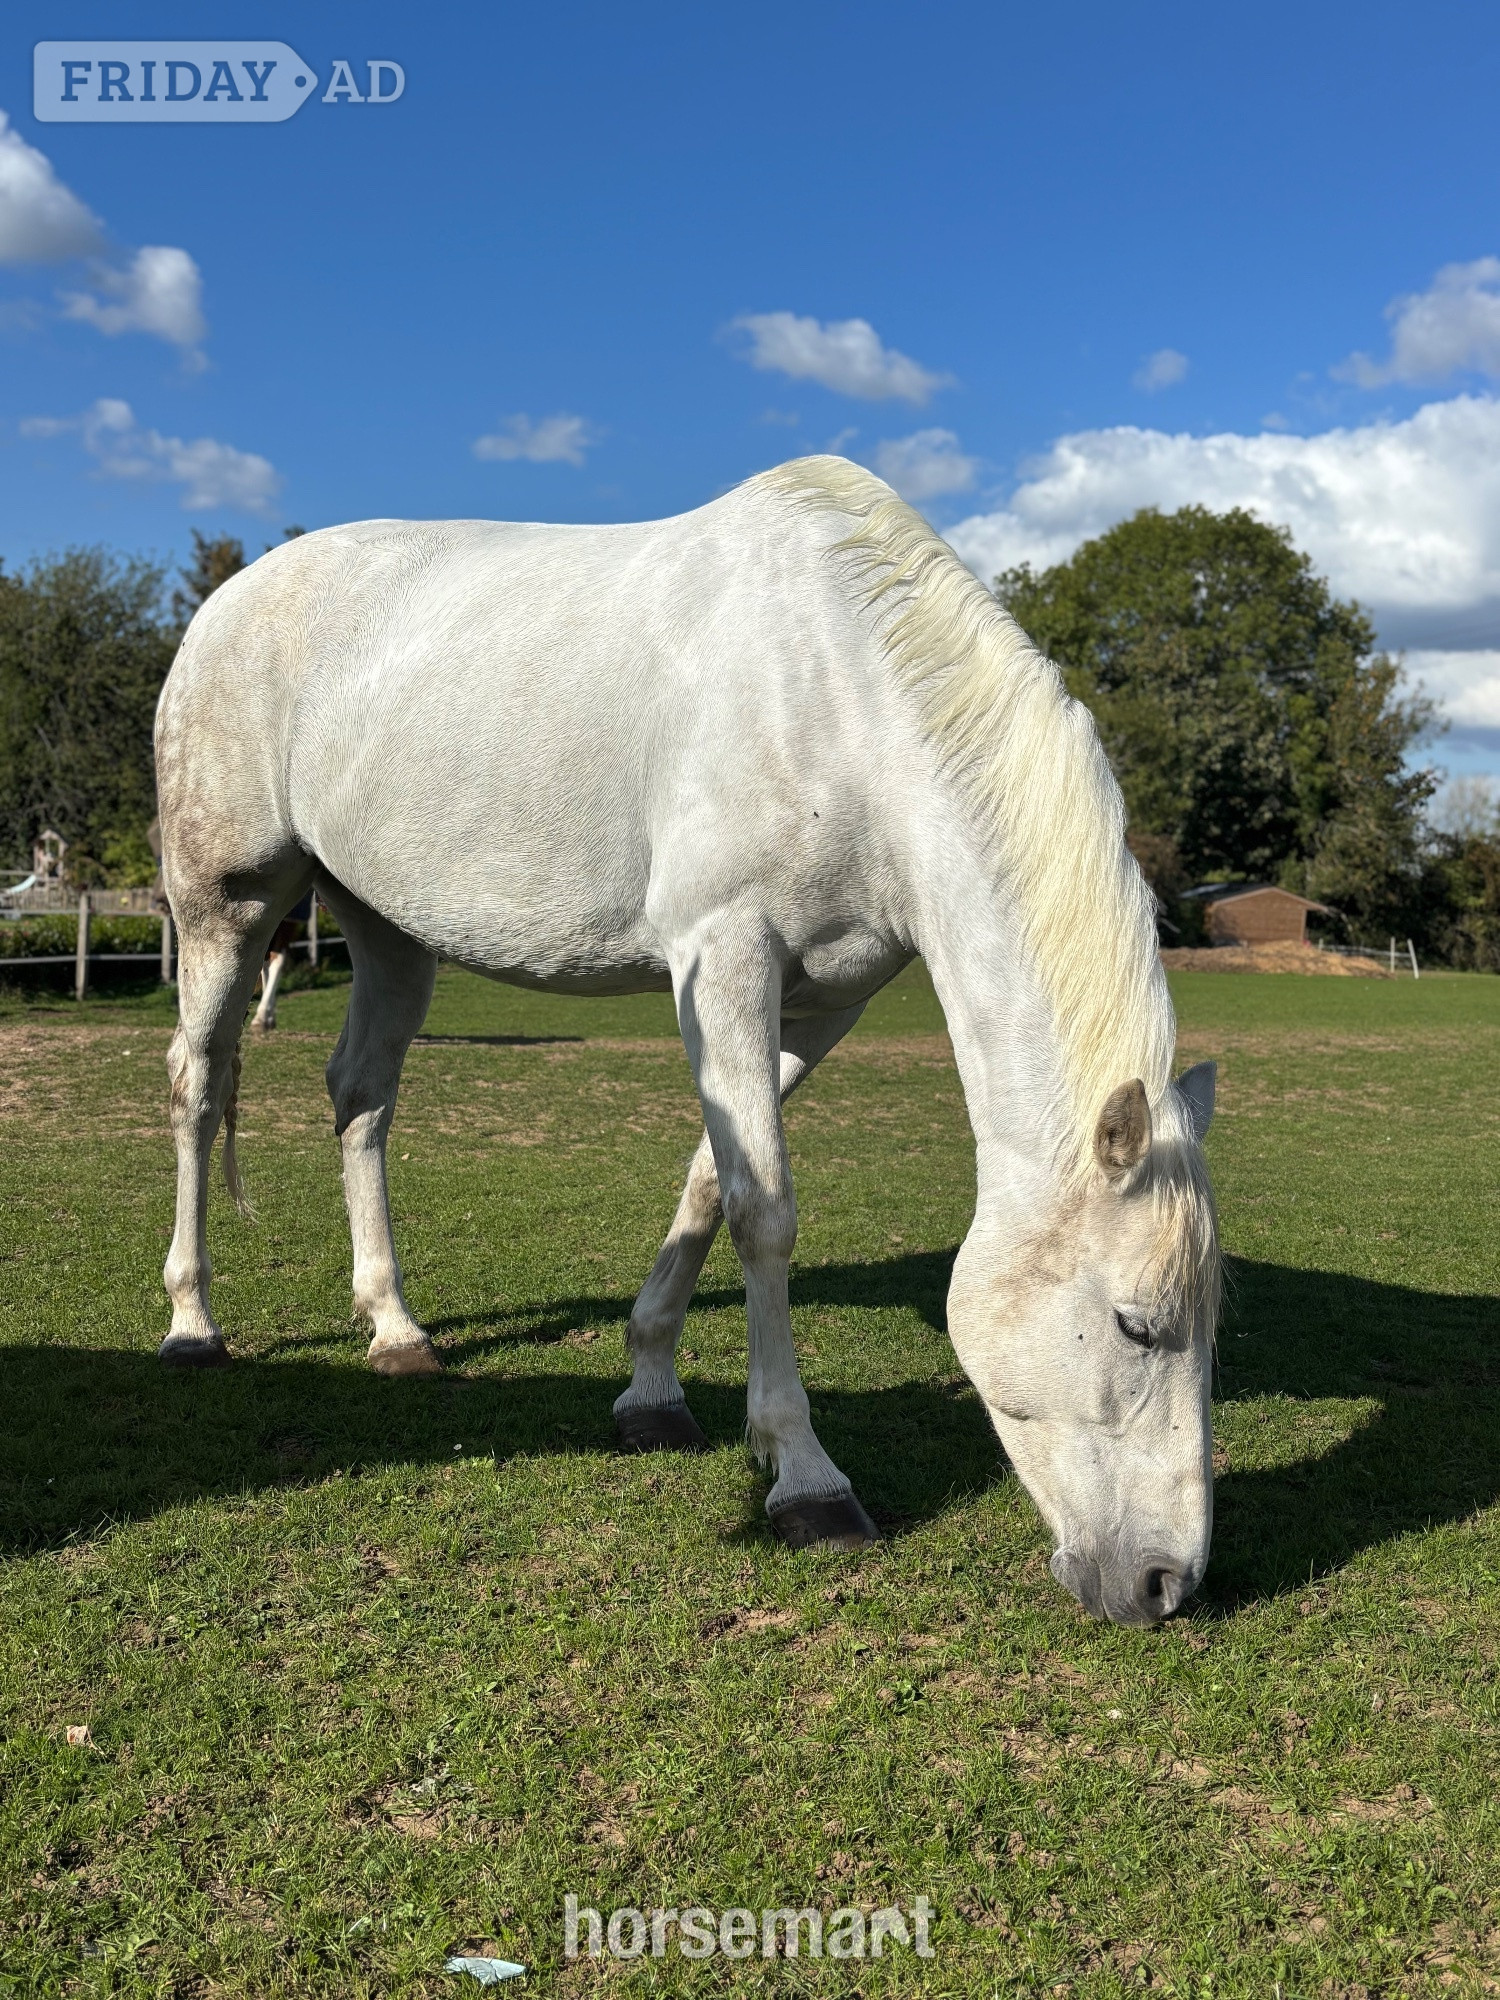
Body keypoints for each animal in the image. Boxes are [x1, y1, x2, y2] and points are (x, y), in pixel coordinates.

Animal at [154, 455, 1220, 1627]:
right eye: (1133, 1324)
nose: (1165, 1582)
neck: (841, 695)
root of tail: (228, 600)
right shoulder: (727, 956)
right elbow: (765, 1211)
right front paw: (804, 1477)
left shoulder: (815, 1005)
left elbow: (714, 1179)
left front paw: (652, 1388)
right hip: (225, 903)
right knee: (198, 1083)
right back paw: (193, 1321)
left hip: (389, 932)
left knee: (361, 1097)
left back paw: (395, 1328)